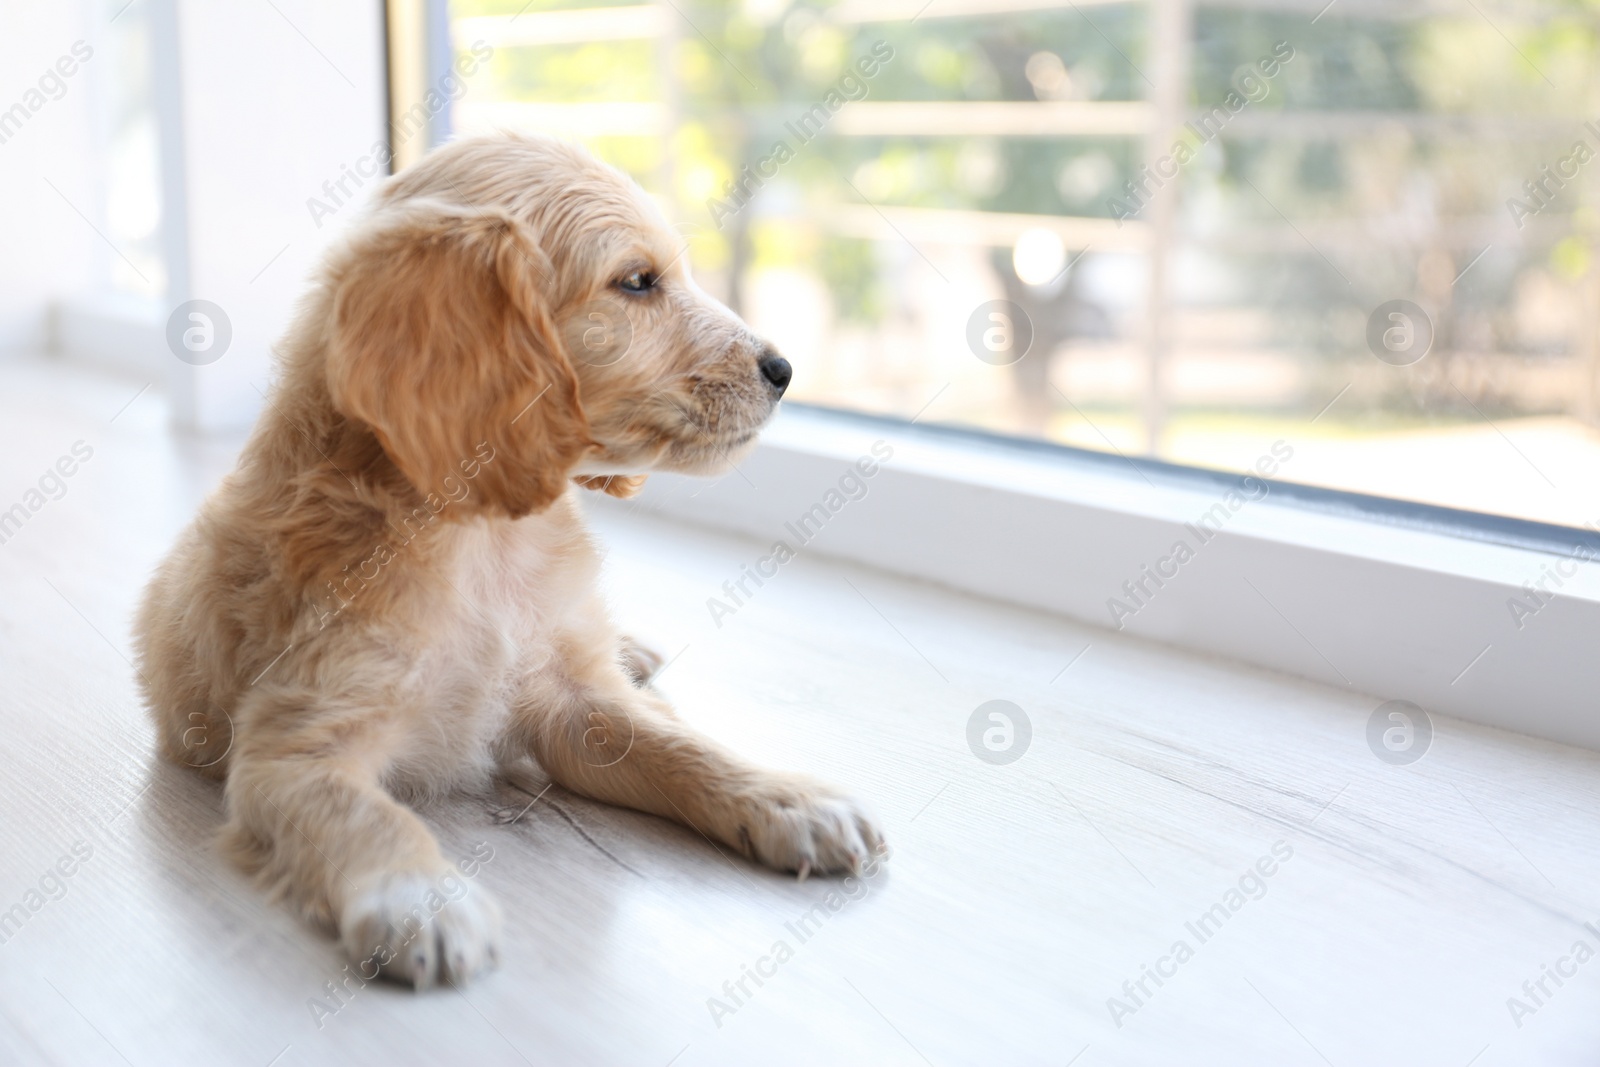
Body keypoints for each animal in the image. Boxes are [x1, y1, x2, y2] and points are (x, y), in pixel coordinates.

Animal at [134, 135, 889, 991]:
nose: (783, 370)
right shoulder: (296, 743)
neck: (481, 536)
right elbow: (364, 811)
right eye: (637, 281)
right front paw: (417, 894)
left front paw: (788, 798)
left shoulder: (573, 705)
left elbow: (679, 747)